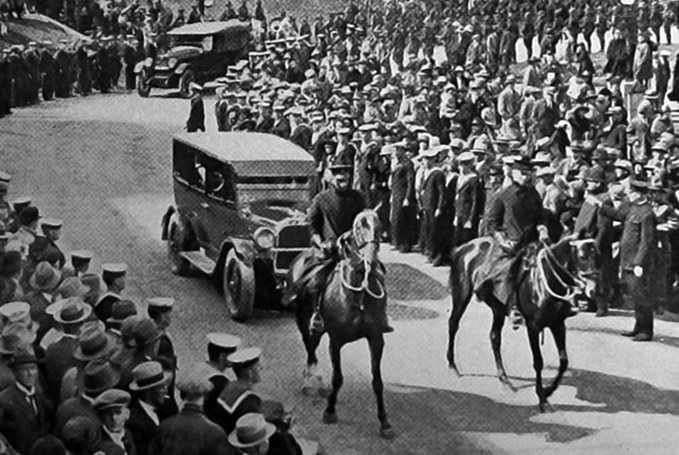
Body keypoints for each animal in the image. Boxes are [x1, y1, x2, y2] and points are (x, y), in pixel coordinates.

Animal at [286, 210, 394, 438]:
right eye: (360, 227)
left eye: (379, 226)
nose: (370, 258)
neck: (358, 295)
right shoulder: (335, 341)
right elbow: (338, 378)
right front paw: (329, 411)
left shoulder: (376, 338)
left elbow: (377, 381)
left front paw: (384, 422)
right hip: (302, 318)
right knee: (309, 346)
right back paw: (312, 379)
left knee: (312, 343)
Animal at [448, 237, 588, 412]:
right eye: (583, 256)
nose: (588, 291)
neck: (545, 284)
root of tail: (464, 246)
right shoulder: (533, 327)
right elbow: (538, 362)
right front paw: (542, 398)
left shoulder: (557, 325)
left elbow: (564, 361)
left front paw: (548, 391)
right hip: (461, 294)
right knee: (453, 324)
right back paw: (452, 365)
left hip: (498, 310)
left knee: (494, 337)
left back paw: (504, 379)